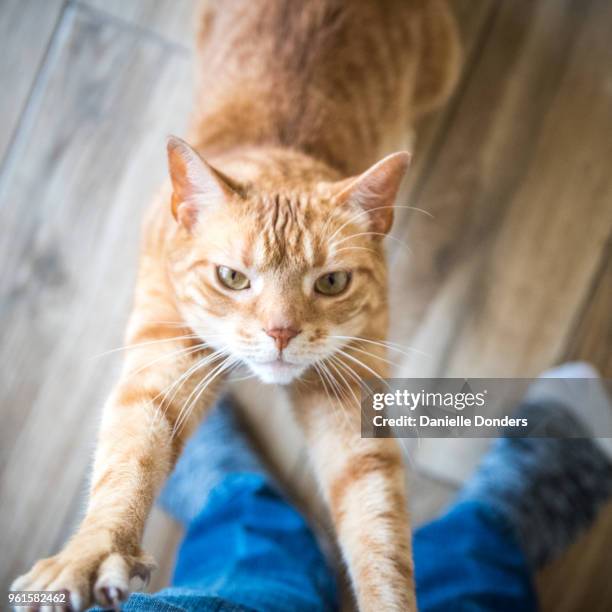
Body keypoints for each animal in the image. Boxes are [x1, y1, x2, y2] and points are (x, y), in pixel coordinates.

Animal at [13, 2, 460, 608]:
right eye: (232, 277)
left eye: (331, 282)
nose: (281, 332)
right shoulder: (166, 348)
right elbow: (134, 446)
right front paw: (91, 552)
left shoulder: (350, 393)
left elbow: (376, 518)